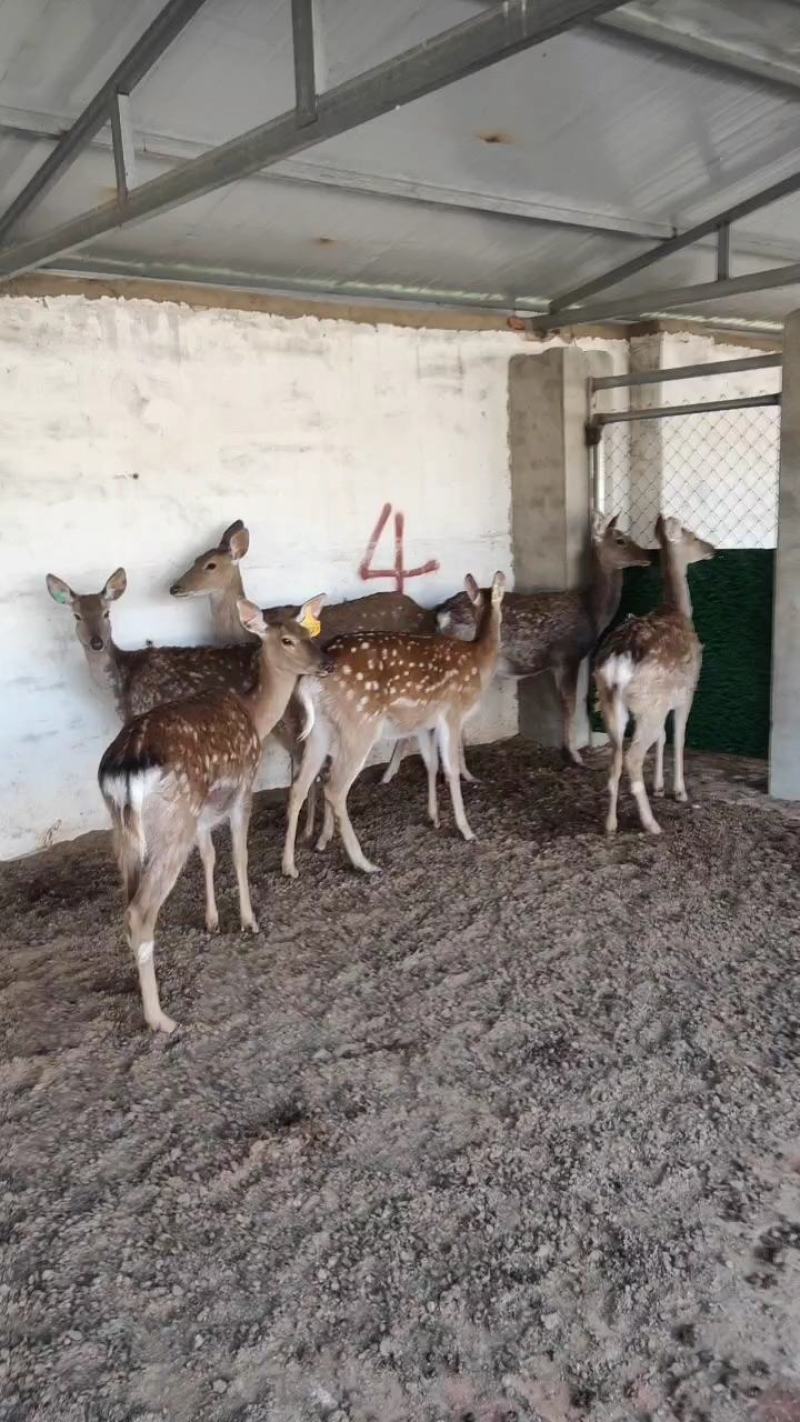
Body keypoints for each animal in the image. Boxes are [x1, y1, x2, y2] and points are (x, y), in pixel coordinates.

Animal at [98, 597, 329, 1034]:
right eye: (288, 640)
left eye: (309, 632)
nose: (325, 662)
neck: (255, 714)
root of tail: (123, 770)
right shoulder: (243, 786)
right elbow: (239, 855)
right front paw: (248, 920)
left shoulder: (203, 813)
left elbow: (208, 856)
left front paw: (212, 921)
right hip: (172, 822)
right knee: (140, 911)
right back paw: (160, 1019)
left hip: (125, 831)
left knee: (127, 902)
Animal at [281, 572, 506, 880]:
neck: (478, 662)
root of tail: (310, 680)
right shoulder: (452, 713)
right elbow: (450, 770)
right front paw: (466, 830)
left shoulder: (425, 722)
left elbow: (431, 764)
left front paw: (433, 818)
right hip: (360, 723)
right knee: (335, 788)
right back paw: (363, 863)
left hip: (320, 730)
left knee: (298, 787)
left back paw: (290, 865)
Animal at [594, 515, 714, 837]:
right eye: (693, 536)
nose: (713, 549)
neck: (678, 611)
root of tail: (617, 662)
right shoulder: (687, 692)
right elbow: (679, 737)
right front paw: (678, 791)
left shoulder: (662, 702)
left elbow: (663, 738)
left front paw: (659, 787)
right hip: (650, 705)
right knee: (633, 757)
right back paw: (651, 823)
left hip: (614, 705)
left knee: (615, 758)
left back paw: (610, 823)